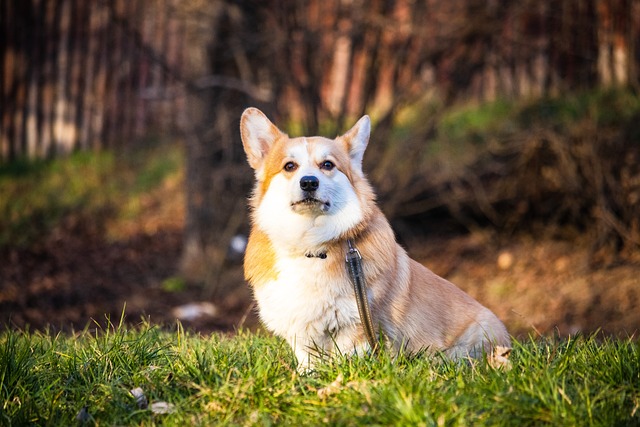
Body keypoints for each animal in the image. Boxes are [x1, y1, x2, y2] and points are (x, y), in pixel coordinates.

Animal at [240, 108, 510, 372]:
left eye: (327, 165)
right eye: (289, 166)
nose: (308, 182)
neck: (312, 245)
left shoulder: (356, 323)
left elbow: (345, 358)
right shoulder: (301, 332)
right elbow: (308, 361)